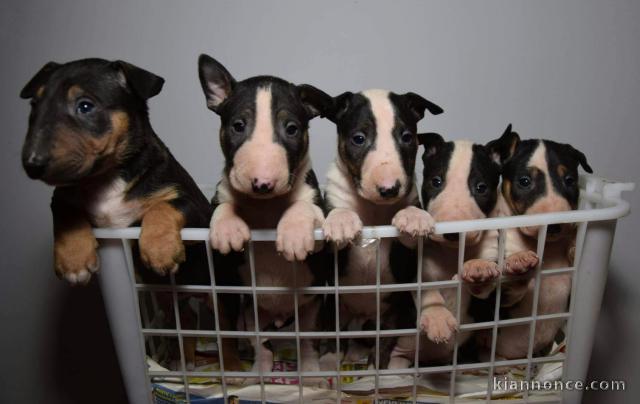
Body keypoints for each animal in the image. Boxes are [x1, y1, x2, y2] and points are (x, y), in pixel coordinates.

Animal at [199, 52, 332, 378]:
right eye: (238, 125)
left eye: (292, 128)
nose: (262, 183)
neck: (266, 206)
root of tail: (280, 316)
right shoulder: (217, 197)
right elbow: (221, 205)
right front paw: (228, 230)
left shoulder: (319, 209)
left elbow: (304, 207)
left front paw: (294, 236)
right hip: (250, 313)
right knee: (262, 344)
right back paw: (260, 368)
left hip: (313, 310)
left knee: (307, 343)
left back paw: (312, 372)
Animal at [418, 132, 508, 362]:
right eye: (436, 181)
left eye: (481, 187)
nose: (452, 233)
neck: (452, 252)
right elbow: (426, 287)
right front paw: (437, 318)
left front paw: (479, 267)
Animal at [480, 124, 596, 362]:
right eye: (525, 181)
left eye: (569, 180)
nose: (554, 226)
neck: (547, 247)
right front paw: (519, 264)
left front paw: (573, 245)